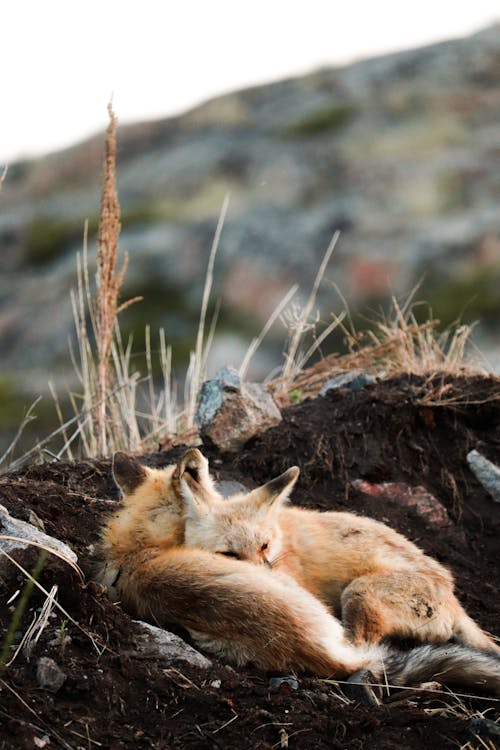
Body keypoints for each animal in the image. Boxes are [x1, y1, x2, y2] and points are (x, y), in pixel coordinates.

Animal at [181, 452, 500, 656]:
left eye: (264, 546)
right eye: (228, 554)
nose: (264, 581)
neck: (283, 544)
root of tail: (452, 595)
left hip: (359, 592)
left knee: (357, 646)